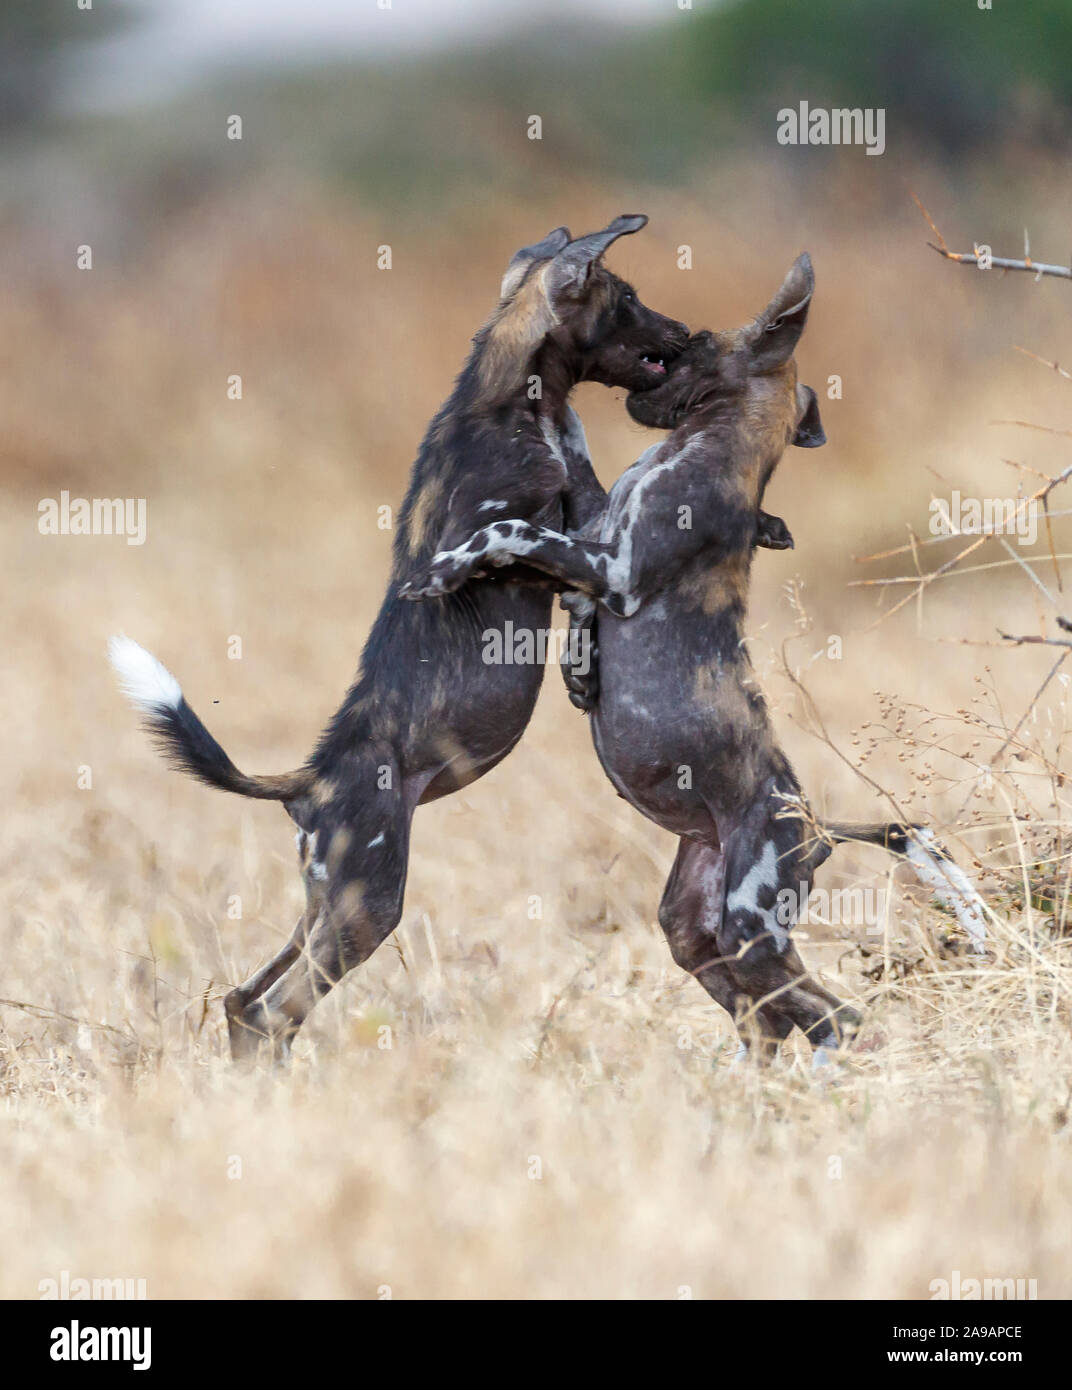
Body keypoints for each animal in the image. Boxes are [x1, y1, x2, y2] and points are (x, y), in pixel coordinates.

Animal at [113, 219, 692, 1061]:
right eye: (631, 299)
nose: (687, 335)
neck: (517, 400)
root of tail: (307, 782)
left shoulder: (583, 525)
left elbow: (586, 593)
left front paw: (584, 675)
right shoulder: (504, 539)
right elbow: (526, 551)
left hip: (326, 907)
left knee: (245, 1003)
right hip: (369, 906)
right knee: (275, 1009)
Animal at [408, 252, 989, 1061]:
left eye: (704, 340)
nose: (671, 341)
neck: (712, 444)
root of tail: (814, 825)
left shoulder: (612, 565)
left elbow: (509, 534)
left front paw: (440, 570)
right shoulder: (594, 532)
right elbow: (568, 520)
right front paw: (579, 672)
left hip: (749, 924)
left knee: (839, 1020)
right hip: (694, 926)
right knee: (771, 1020)